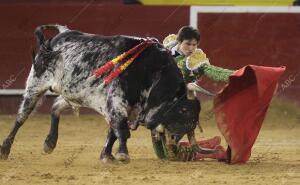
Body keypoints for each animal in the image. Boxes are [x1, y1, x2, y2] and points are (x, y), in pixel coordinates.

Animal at [0, 24, 216, 162]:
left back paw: (50, 143)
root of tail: (57, 36)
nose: (174, 148)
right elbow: (121, 129)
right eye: (183, 111)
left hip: (74, 93)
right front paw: (122, 154)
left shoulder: (130, 107)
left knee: (55, 107)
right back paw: (5, 149)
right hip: (35, 84)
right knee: (21, 116)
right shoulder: (116, 101)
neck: (154, 72)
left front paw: (107, 155)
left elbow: (114, 131)